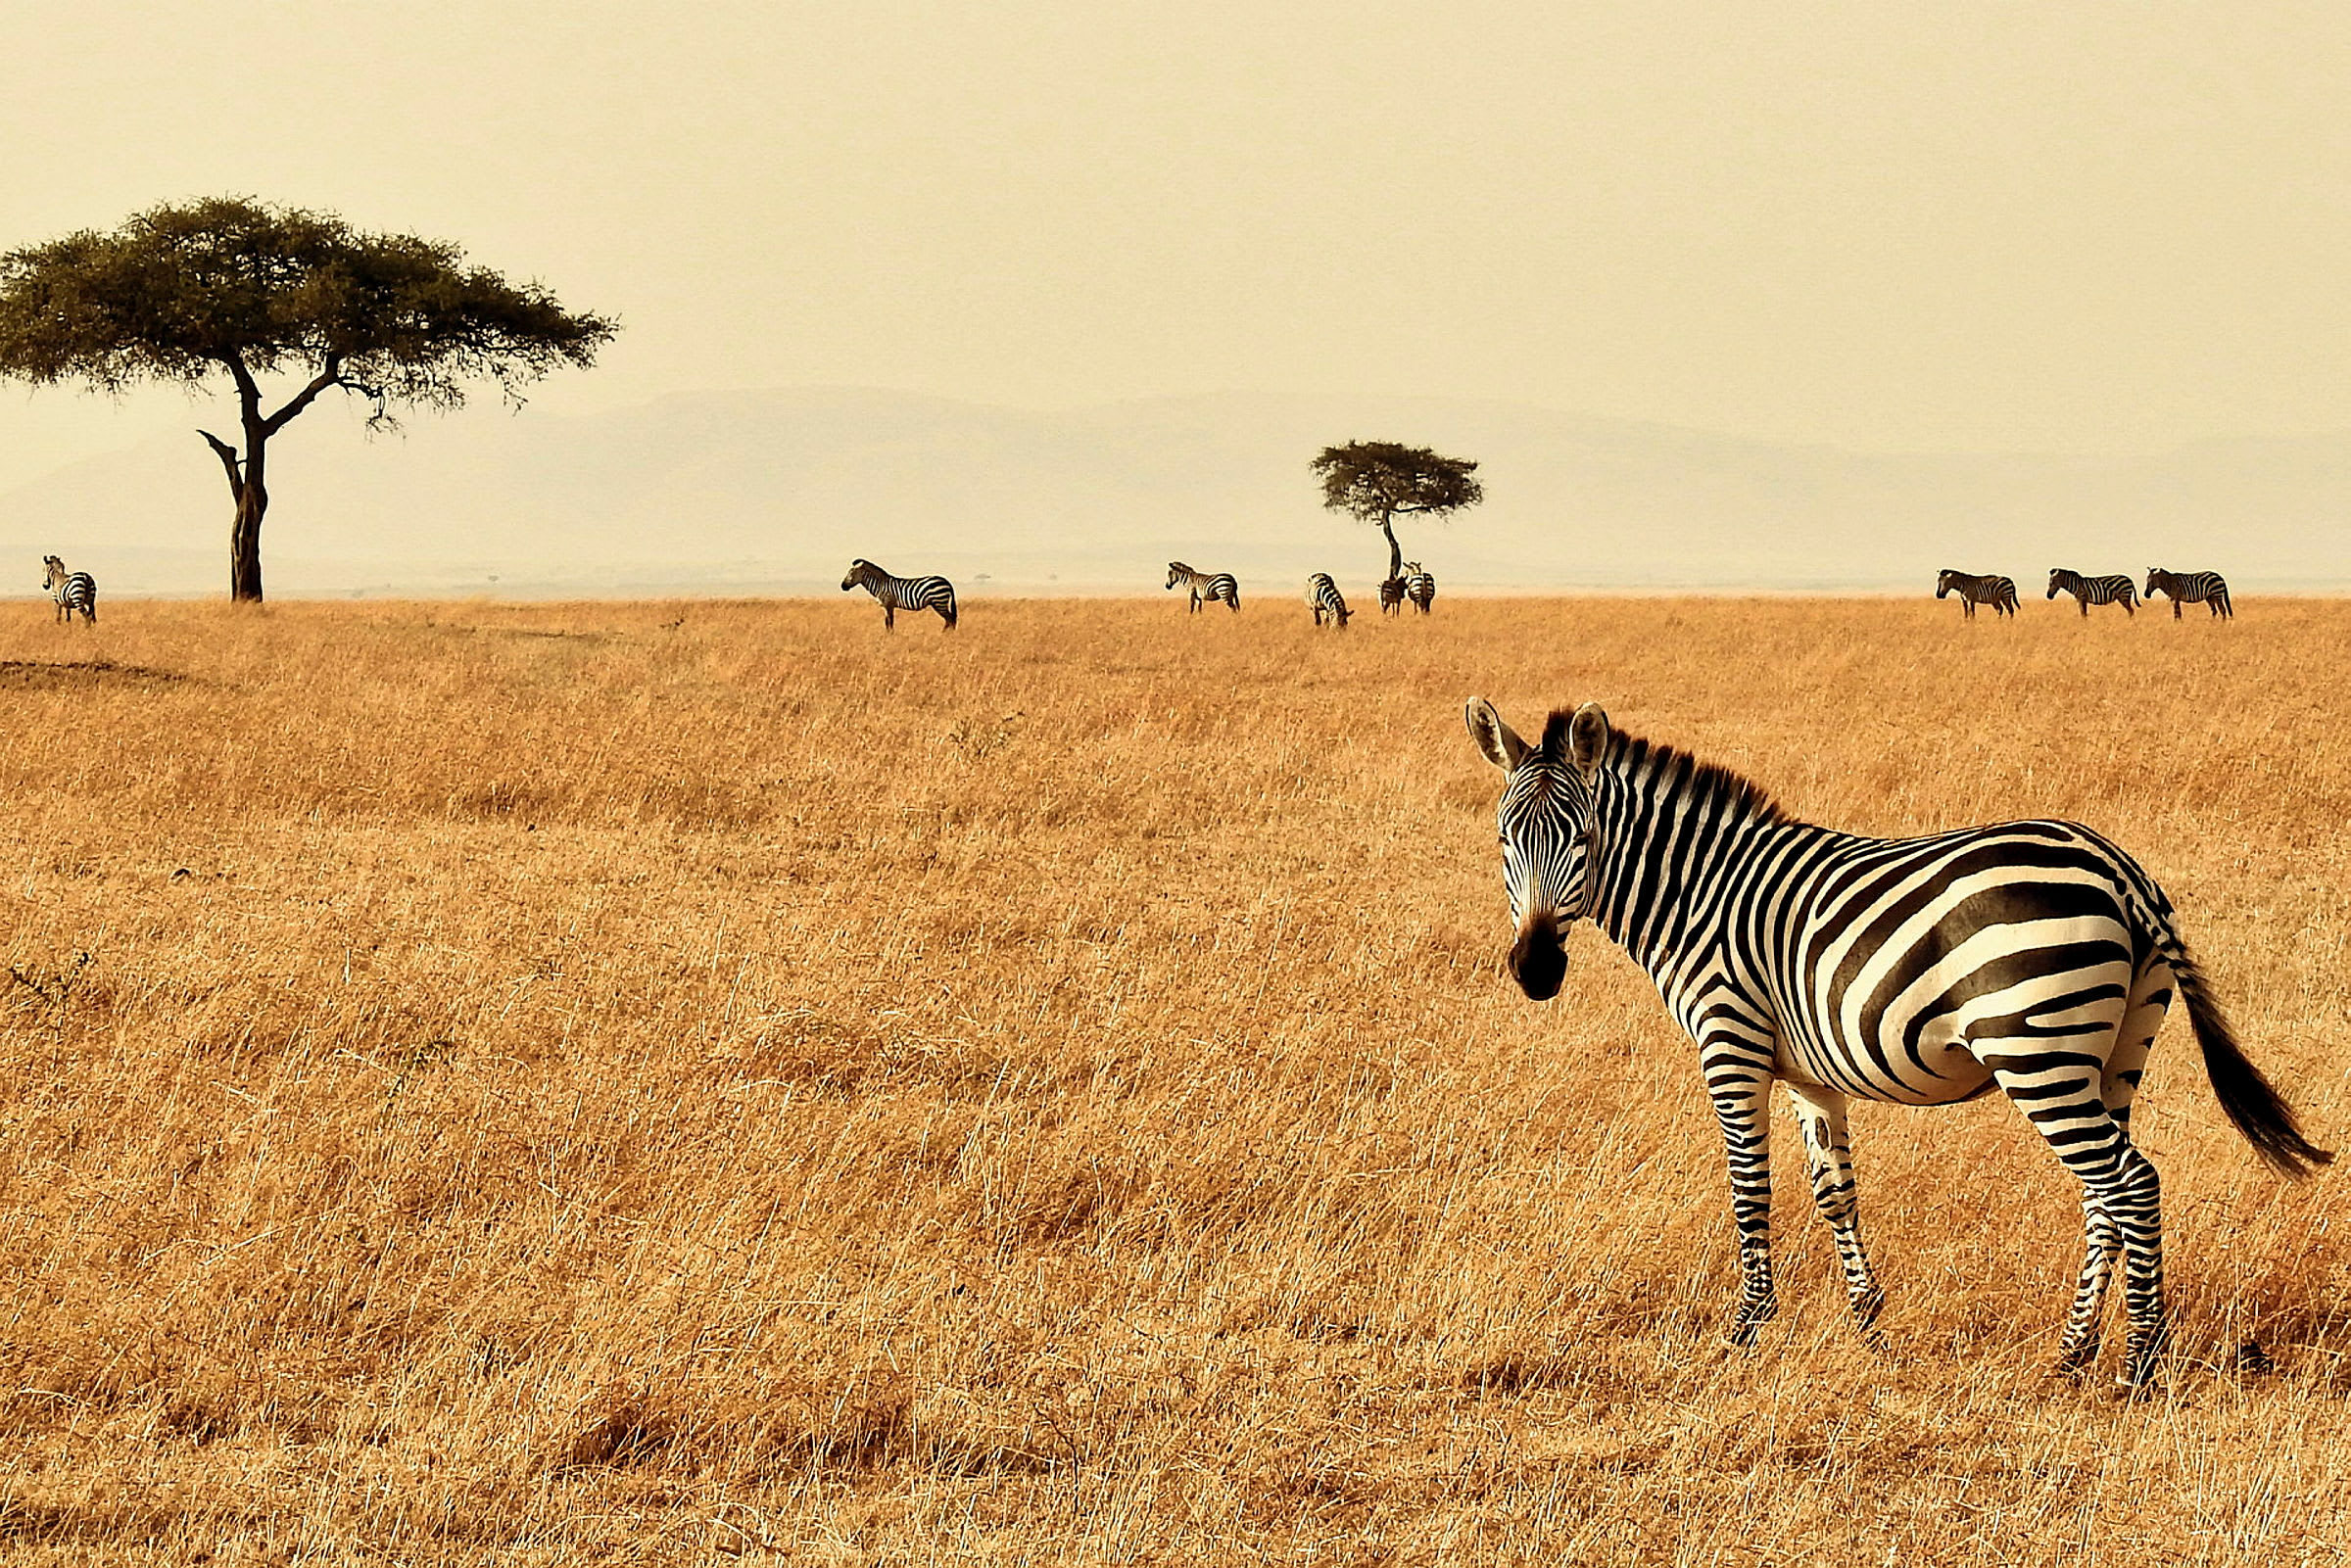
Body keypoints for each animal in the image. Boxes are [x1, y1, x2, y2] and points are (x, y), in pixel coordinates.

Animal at [1463, 698, 2330, 1387]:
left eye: (1581, 835)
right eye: (1505, 836)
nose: (1535, 969)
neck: (1700, 893)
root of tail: (2118, 867)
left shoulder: (1730, 1041)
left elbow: (1750, 1190)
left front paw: (1747, 1330)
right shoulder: (1811, 1071)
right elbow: (1834, 1191)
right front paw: (1868, 1322)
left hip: (2036, 1048)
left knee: (2133, 1182)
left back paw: (2137, 1364)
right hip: (2115, 1052)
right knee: (2104, 1194)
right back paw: (2073, 1351)